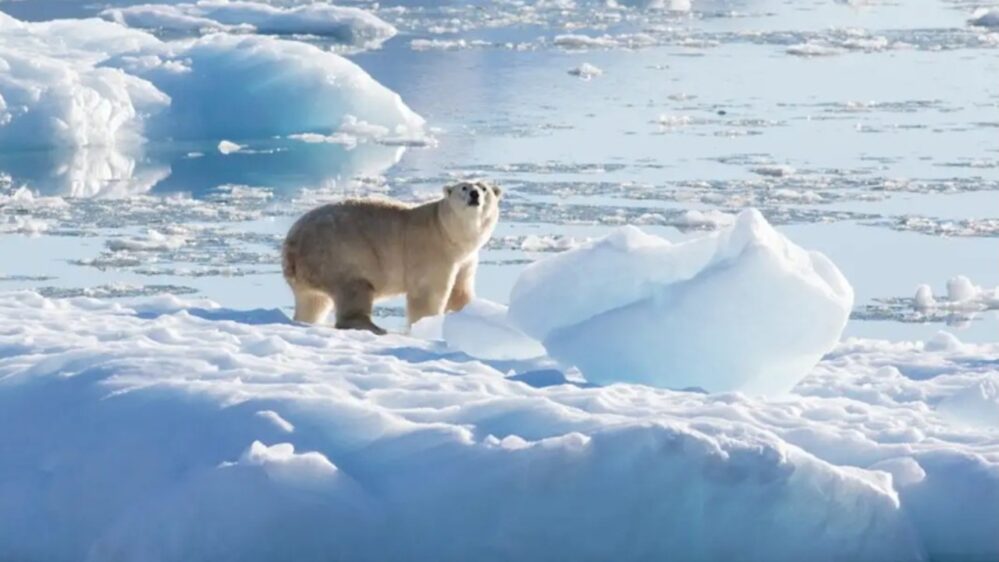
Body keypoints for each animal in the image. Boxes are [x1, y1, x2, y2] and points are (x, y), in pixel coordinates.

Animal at [281, 180, 501, 334]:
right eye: (463, 187)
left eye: (484, 188)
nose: (474, 194)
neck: (447, 231)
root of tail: (291, 244)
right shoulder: (431, 250)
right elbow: (428, 293)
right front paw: (427, 326)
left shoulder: (466, 259)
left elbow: (460, 291)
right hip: (339, 253)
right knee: (355, 288)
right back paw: (375, 327)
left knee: (313, 301)